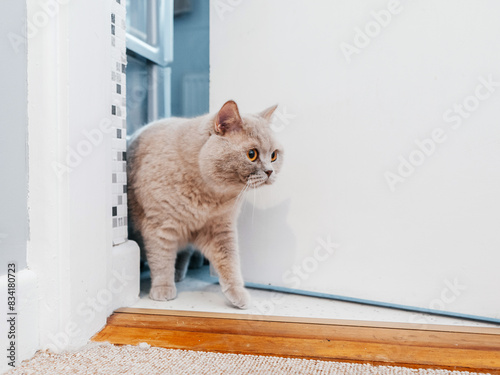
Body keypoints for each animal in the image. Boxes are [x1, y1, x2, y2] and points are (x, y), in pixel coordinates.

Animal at [127, 100, 284, 308]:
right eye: (252, 154)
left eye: (274, 155)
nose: (269, 171)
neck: (209, 196)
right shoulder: (160, 227)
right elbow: (161, 260)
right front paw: (162, 289)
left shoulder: (221, 229)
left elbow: (230, 263)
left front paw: (238, 294)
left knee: (184, 254)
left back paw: (179, 273)